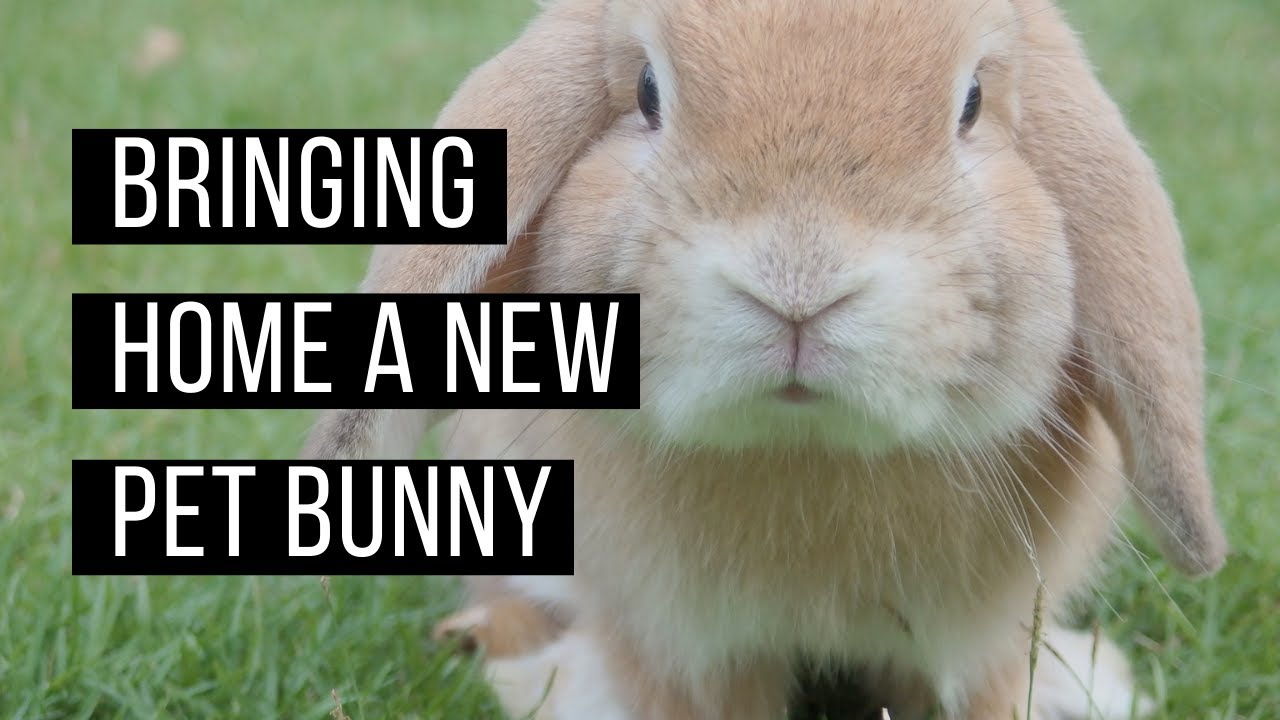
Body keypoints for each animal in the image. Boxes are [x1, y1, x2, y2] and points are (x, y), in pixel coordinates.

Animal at [302, 0, 1229, 716]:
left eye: (970, 103)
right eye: (647, 92)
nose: (798, 282)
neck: (805, 448)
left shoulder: (984, 641)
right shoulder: (680, 644)